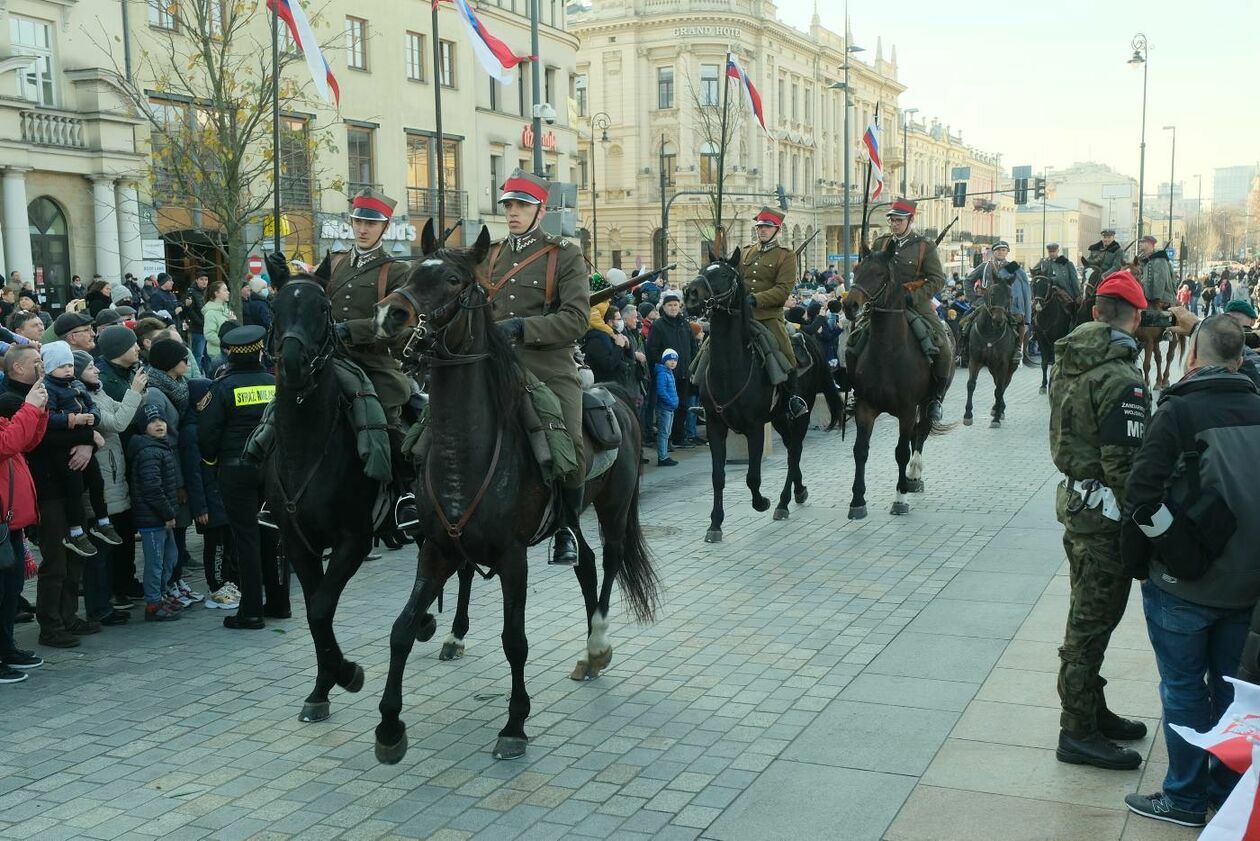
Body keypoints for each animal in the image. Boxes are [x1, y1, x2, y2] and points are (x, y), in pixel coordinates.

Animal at [367, 220, 660, 766]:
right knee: (585, 561)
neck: (466, 450)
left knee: (609, 562)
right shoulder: (436, 549)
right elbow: (400, 629)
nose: (388, 315)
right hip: (571, 518)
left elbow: (514, 640)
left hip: (612, 507)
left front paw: (515, 723)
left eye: (455, 280)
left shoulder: (512, 558)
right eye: (411, 274)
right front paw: (390, 726)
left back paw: (598, 644)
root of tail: (615, 394)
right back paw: (589, 653)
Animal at [685, 247, 841, 542]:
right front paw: (715, 524)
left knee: (795, 451)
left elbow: (752, 477)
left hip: (800, 414)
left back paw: (782, 502)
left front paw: (762, 502)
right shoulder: (714, 426)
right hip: (779, 418)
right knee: (791, 448)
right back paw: (798, 491)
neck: (731, 366)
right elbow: (717, 476)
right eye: (702, 268)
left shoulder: (755, 428)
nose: (689, 293)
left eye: (725, 274)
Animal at [962, 279, 1023, 431]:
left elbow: (1000, 389)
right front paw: (968, 415)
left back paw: (998, 409)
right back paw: (997, 408)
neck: (990, 333)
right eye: (993, 293)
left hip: (1009, 368)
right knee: (997, 384)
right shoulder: (975, 360)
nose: (999, 320)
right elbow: (971, 384)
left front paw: (996, 418)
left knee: (1003, 385)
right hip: (992, 368)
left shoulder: (1003, 364)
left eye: (1010, 296)